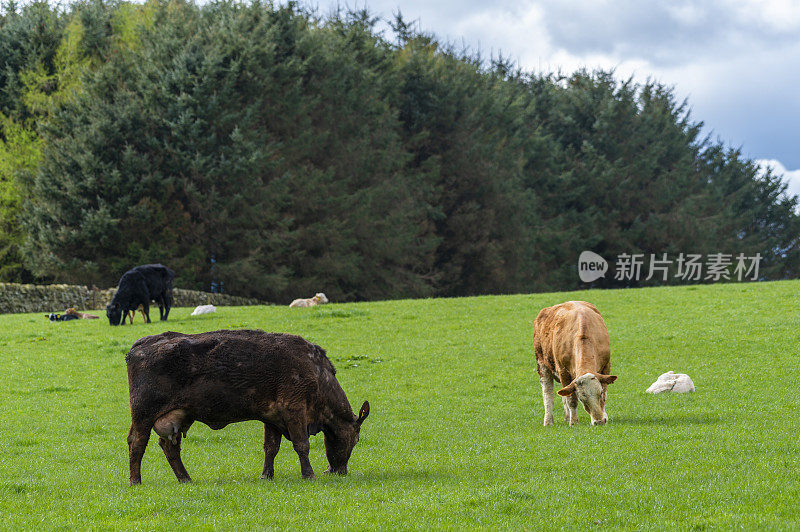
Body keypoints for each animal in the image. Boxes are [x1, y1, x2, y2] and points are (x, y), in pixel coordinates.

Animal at [126, 330, 372, 484]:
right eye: (356, 439)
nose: (340, 471)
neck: (317, 373)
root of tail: (141, 344)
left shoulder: (273, 417)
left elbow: (271, 448)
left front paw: (266, 475)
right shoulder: (294, 409)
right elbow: (302, 445)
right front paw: (309, 475)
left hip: (178, 416)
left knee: (170, 447)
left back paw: (185, 478)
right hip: (143, 415)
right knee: (136, 443)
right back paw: (135, 481)